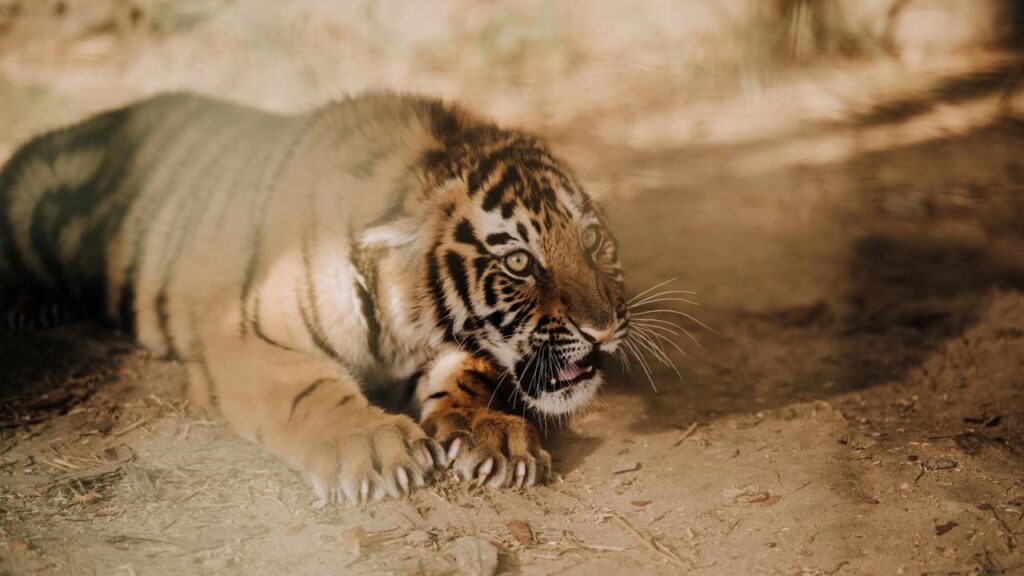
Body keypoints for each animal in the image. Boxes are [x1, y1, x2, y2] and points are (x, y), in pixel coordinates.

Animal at [0, 91, 629, 505]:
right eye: (519, 261)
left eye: (593, 241)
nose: (603, 329)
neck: (401, 315)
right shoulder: (247, 335)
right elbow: (311, 388)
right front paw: (371, 446)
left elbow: (471, 372)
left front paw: (493, 434)